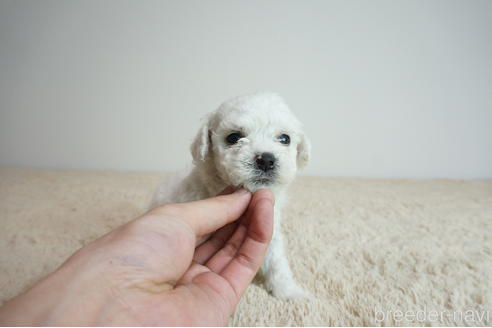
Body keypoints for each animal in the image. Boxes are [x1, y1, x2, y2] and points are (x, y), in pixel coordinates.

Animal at [150, 92, 312, 300]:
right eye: (233, 137)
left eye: (285, 138)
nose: (266, 160)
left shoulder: (272, 229)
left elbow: (277, 263)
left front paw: (289, 292)